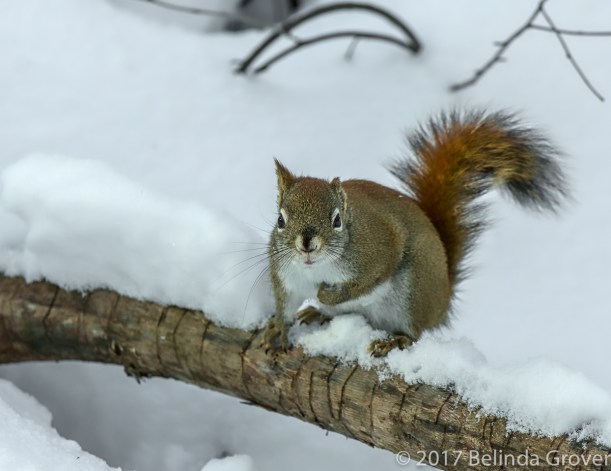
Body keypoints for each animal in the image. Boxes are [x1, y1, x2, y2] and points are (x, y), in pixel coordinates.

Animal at [264, 110, 567, 357]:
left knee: (415, 333)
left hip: (413, 291)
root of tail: (443, 299)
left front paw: (325, 294)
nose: (306, 244)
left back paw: (392, 341)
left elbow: (364, 283)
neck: (314, 268)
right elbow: (285, 304)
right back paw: (317, 313)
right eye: (280, 220)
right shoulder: (287, 276)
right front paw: (277, 328)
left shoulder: (378, 253)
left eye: (336, 220)